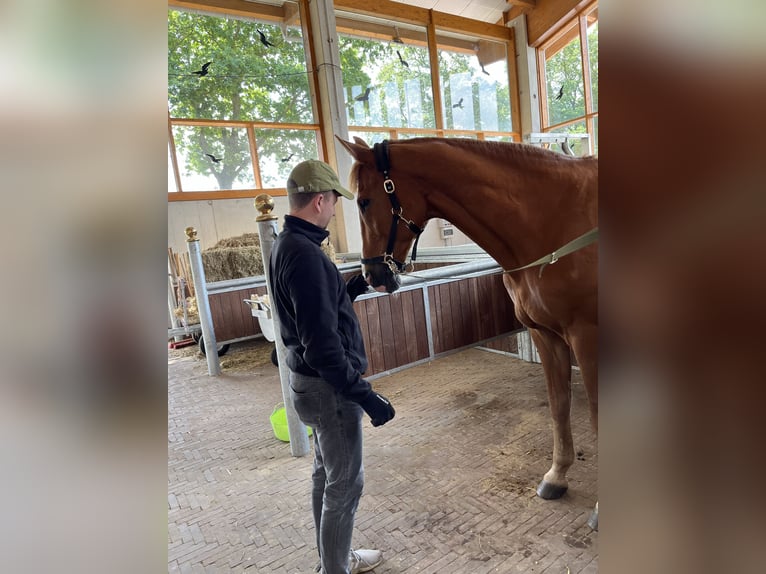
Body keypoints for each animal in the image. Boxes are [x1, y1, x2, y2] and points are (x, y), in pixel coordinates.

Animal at [340, 137, 600, 532]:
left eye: (364, 201)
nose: (372, 276)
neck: (554, 222)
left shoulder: (588, 339)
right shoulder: (546, 336)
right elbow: (559, 406)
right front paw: (556, 476)